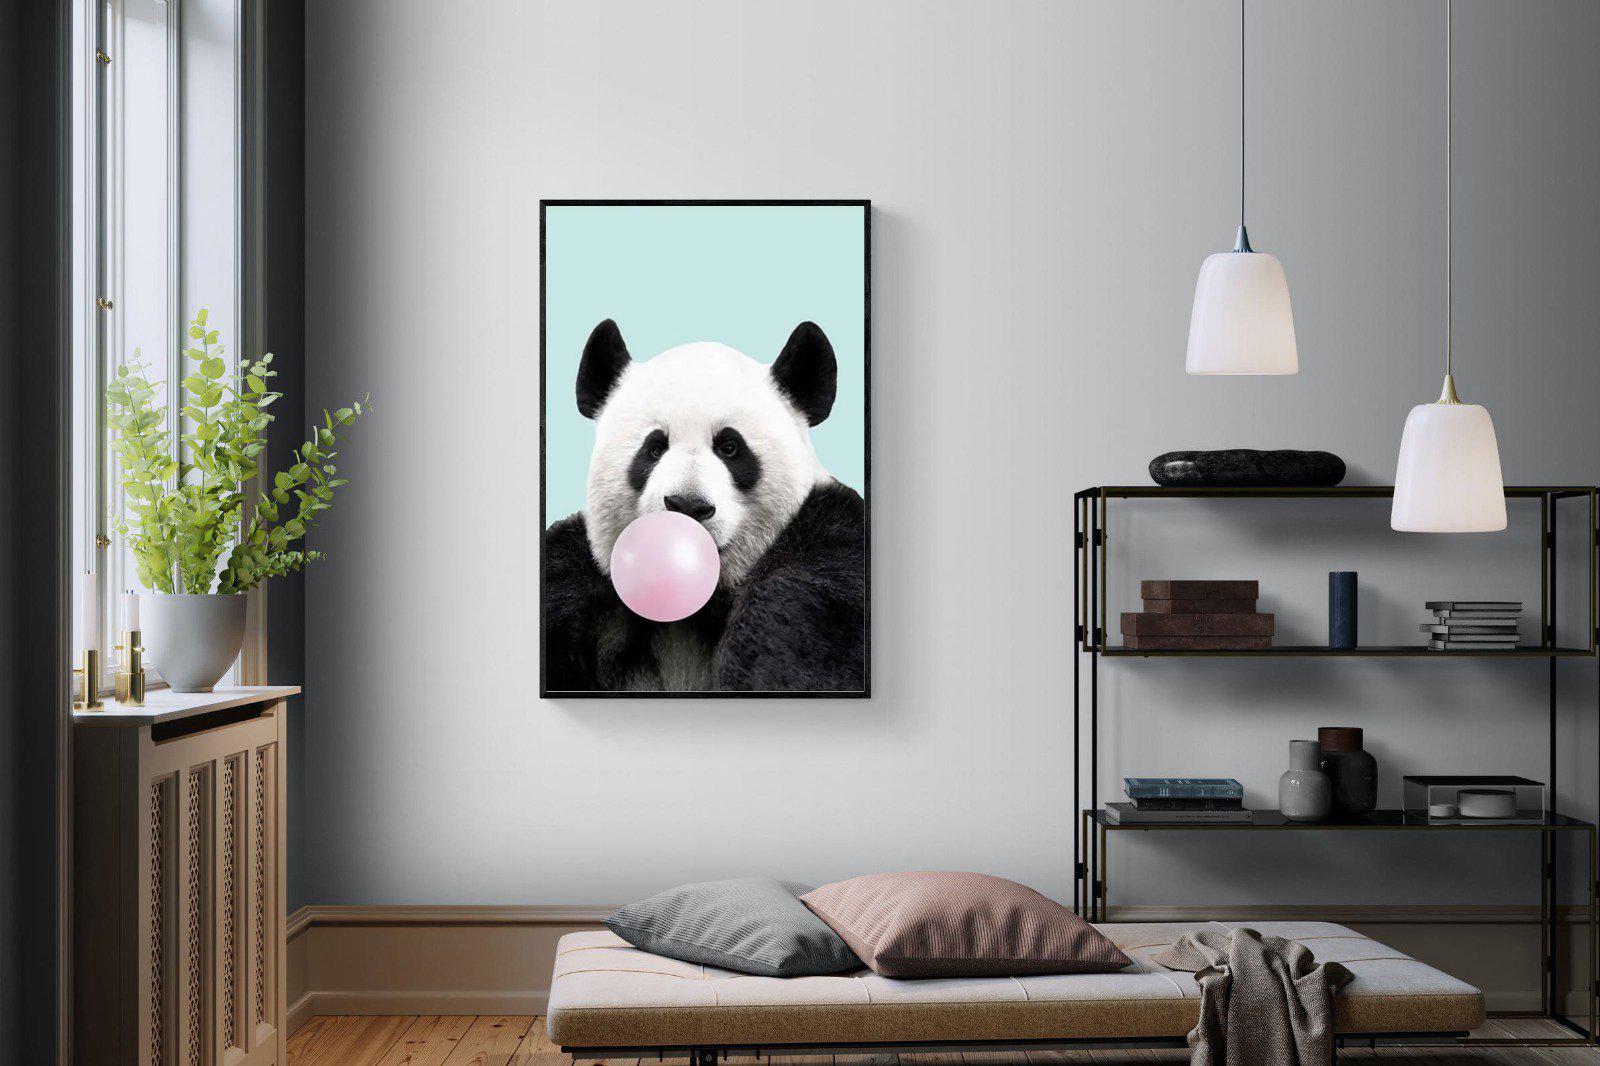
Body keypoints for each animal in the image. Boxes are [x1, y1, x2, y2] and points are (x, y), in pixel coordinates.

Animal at [542, 318, 867, 693]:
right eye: (654, 448)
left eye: (730, 447)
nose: (687, 505)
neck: (697, 607)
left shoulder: (833, 552)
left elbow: (798, 621)